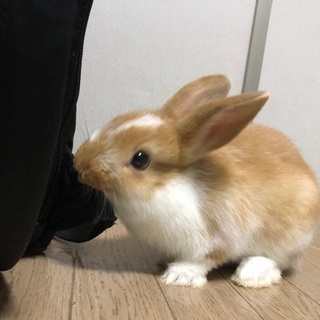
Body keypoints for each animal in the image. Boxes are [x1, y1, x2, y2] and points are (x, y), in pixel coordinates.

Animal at [75, 75, 320, 290]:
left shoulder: (216, 238)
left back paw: (252, 275)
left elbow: (203, 260)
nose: (80, 165)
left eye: (140, 159)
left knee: (279, 261)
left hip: (288, 238)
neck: (167, 186)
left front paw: (178, 276)